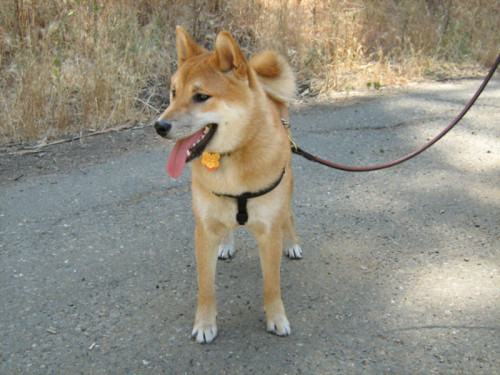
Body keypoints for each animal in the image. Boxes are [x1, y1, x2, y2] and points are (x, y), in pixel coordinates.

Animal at [153, 25, 300, 344]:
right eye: (173, 93)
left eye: (201, 96)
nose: (159, 126)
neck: (232, 158)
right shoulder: (204, 230)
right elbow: (205, 287)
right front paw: (205, 324)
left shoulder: (269, 232)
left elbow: (271, 285)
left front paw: (276, 318)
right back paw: (227, 243)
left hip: (287, 185)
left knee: (289, 215)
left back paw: (293, 243)